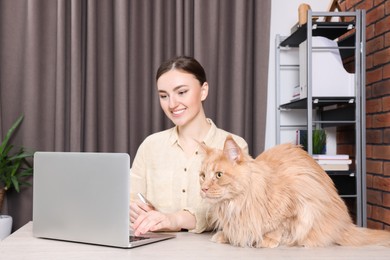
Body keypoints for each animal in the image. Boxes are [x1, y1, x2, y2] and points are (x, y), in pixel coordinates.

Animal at [200, 136, 390, 248]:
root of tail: (344, 225)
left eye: (218, 175)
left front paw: (267, 240)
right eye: (202, 176)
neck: (234, 204)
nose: (203, 189)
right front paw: (225, 235)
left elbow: (279, 227)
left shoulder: (296, 202)